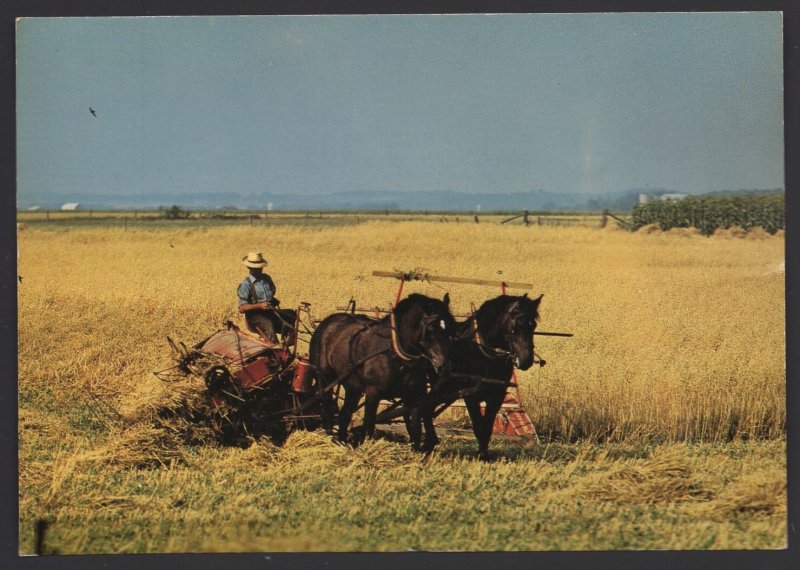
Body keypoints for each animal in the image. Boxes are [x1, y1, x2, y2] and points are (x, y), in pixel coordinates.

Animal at [308, 292, 456, 448]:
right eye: (430, 329)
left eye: (451, 328)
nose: (444, 366)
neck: (397, 355)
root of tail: (328, 322)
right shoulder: (373, 392)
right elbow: (368, 425)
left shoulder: (414, 395)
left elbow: (415, 429)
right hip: (325, 378)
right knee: (327, 409)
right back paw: (331, 436)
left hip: (353, 387)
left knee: (345, 415)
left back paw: (342, 441)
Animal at [418, 292, 544, 458]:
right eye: (517, 324)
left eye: (533, 325)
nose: (526, 360)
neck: (483, 354)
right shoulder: (470, 396)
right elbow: (479, 426)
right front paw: (480, 456)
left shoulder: (497, 395)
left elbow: (488, 426)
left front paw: (483, 454)